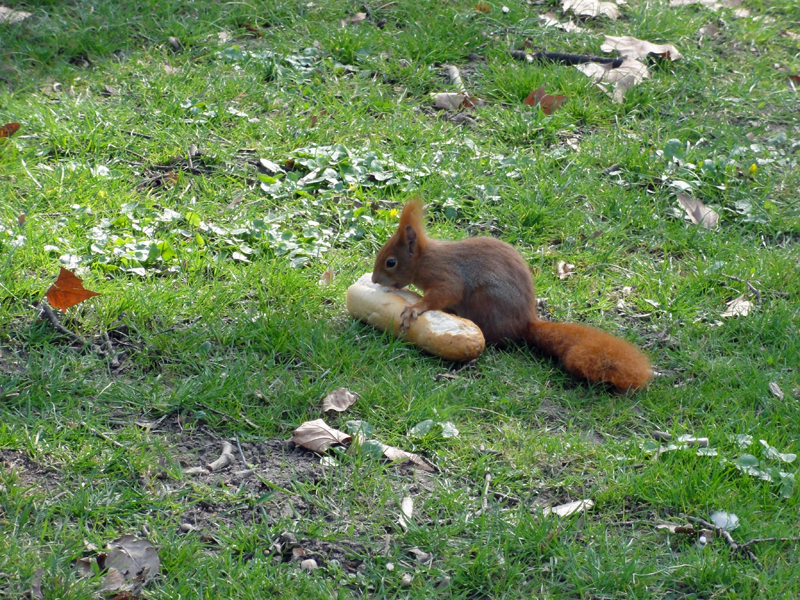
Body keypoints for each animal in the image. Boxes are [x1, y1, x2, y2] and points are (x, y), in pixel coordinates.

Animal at [371, 199, 652, 392]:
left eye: (391, 262)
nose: (374, 280)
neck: (425, 260)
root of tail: (525, 323)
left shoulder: (446, 276)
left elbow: (442, 294)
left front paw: (415, 308)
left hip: (485, 300)